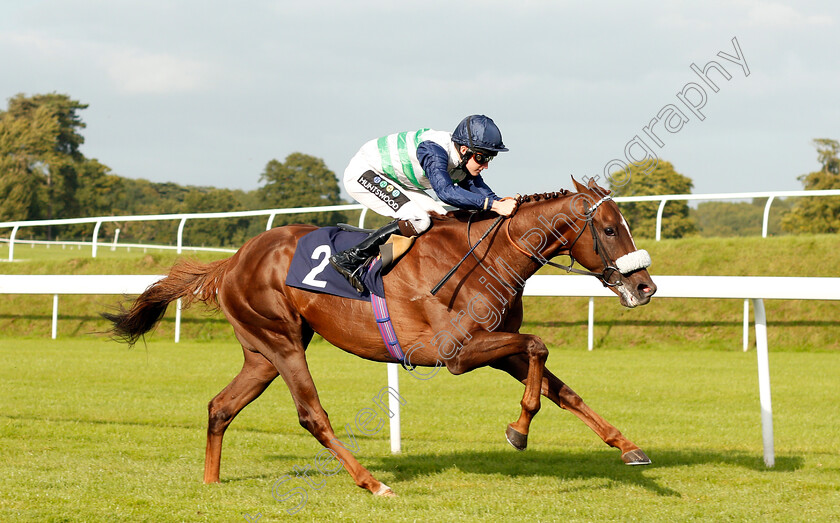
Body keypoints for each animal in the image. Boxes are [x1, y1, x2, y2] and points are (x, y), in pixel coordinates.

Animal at [105, 178, 656, 498]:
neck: (487, 257)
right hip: (281, 342)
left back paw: (211, 483)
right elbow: (540, 346)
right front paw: (518, 430)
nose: (645, 287)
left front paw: (628, 447)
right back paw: (373, 483)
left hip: (262, 352)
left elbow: (563, 388)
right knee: (312, 416)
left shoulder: (500, 344)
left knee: (221, 406)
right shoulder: (456, 353)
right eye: (610, 229)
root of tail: (234, 258)